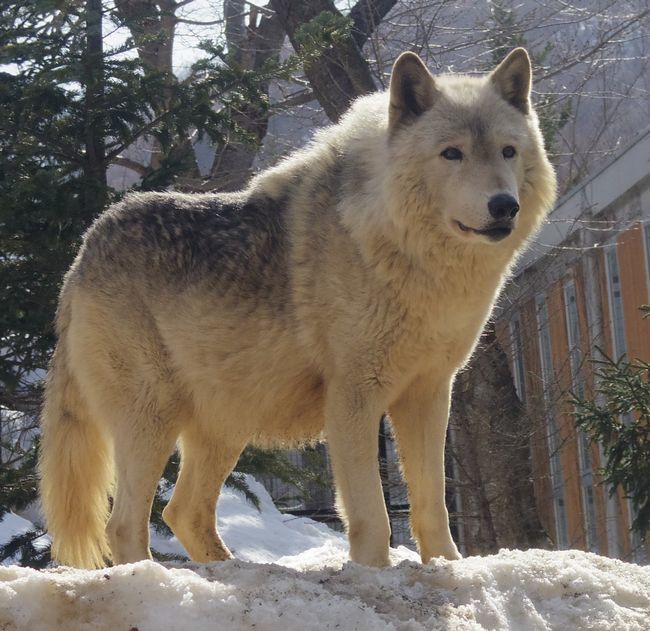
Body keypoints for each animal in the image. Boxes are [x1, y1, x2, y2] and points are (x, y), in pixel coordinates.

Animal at [40, 48, 556, 568]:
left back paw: (230, 570)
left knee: (182, 512)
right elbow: (374, 515)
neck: (398, 248)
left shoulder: (429, 393)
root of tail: (82, 254)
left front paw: (448, 569)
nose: (503, 206)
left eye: (507, 151)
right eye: (452, 153)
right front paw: (373, 572)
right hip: (153, 419)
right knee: (125, 523)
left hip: (222, 429)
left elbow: (432, 507)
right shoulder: (354, 395)